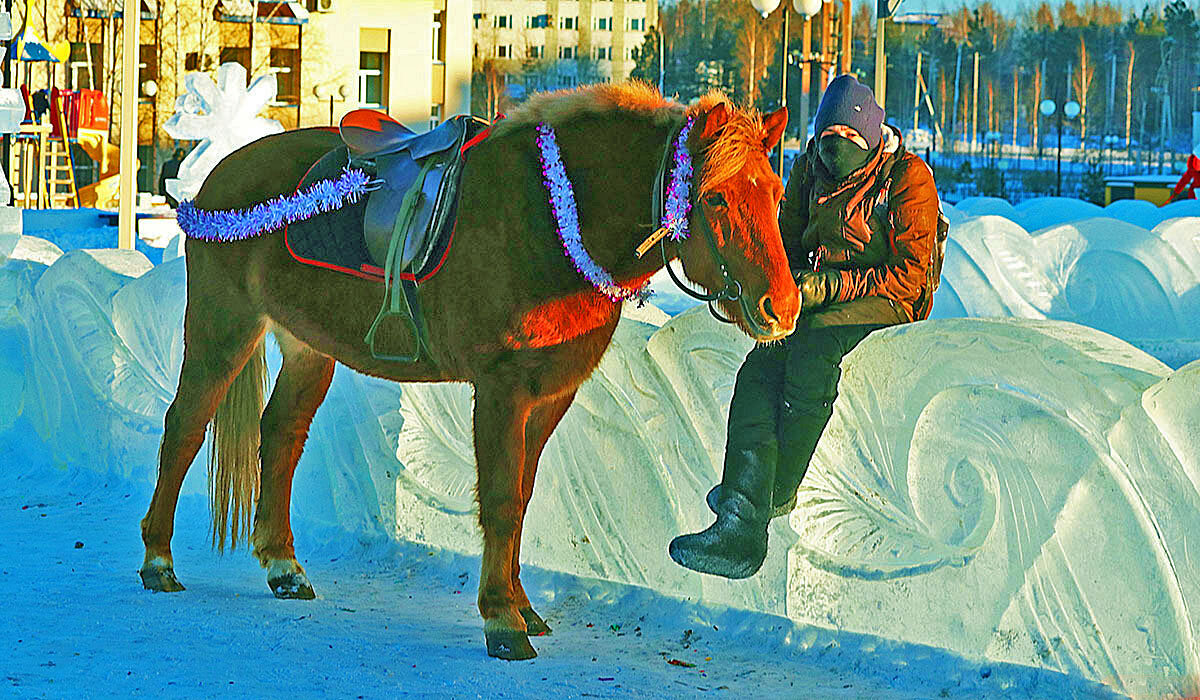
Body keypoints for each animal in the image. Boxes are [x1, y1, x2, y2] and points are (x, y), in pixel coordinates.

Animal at [138, 84, 796, 657]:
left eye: (775, 193)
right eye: (715, 197)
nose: (783, 307)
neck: (552, 215)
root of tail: (221, 176)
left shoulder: (549, 397)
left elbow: (522, 498)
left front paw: (521, 605)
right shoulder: (503, 391)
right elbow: (501, 499)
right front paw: (503, 620)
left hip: (307, 347)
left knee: (280, 437)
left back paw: (283, 566)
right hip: (223, 330)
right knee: (184, 428)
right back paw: (158, 561)